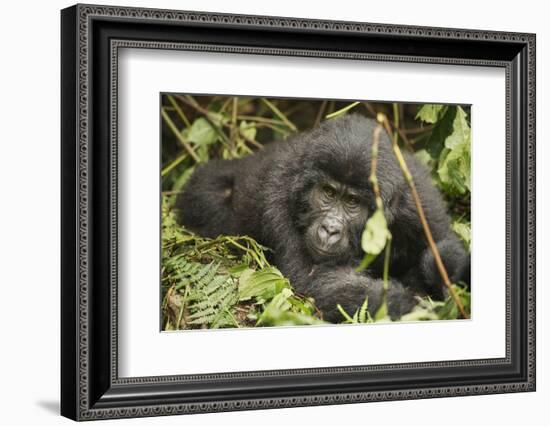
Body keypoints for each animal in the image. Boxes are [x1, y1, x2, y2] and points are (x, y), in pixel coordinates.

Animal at [179, 115, 472, 322]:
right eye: (328, 193)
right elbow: (313, 283)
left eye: (352, 202)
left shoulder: (420, 200)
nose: (330, 229)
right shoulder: (277, 194)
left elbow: (443, 245)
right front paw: (409, 306)